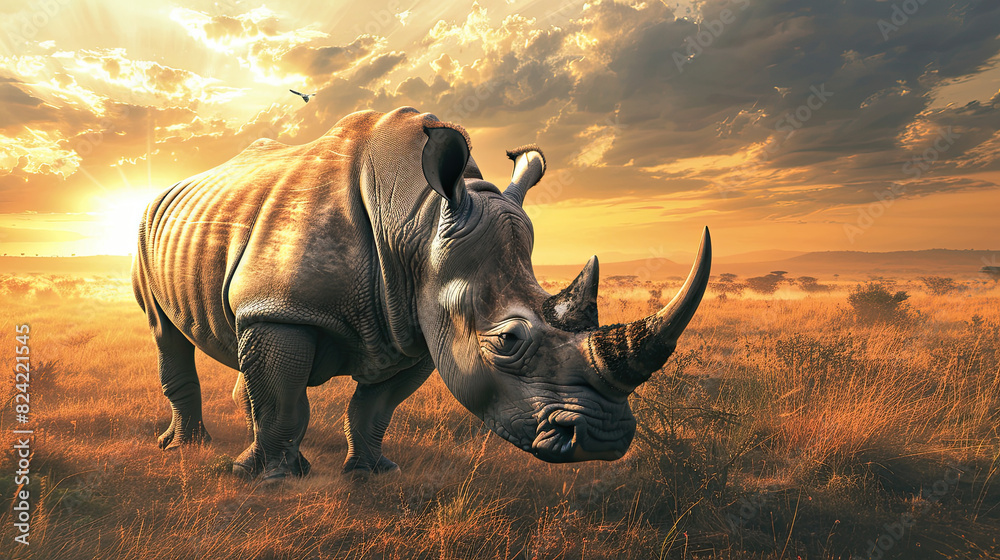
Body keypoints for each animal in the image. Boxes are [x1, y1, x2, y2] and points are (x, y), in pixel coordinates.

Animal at [132, 107, 711, 481]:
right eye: (507, 341)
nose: (603, 439)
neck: (419, 221)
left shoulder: (416, 326)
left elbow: (374, 407)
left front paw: (372, 473)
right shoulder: (285, 309)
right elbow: (284, 400)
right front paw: (273, 480)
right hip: (145, 229)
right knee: (165, 330)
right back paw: (191, 448)